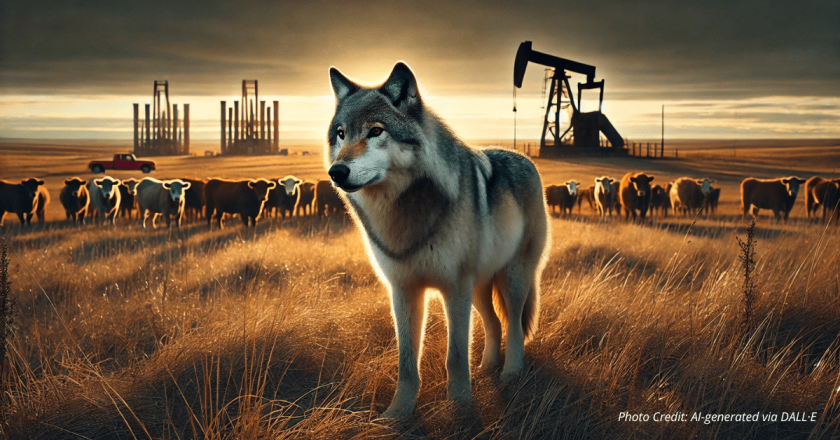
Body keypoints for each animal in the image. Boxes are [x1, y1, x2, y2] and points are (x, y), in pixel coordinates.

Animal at [325, 62, 551, 419]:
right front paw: (397, 415)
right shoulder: (404, 290)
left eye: (376, 131)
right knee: (493, 323)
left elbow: (455, 355)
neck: (405, 212)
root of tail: (526, 159)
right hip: (479, 288)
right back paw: (486, 369)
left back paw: (510, 375)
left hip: (511, 280)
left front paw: (461, 407)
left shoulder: (454, 287)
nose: (336, 172)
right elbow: (406, 362)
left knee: (513, 325)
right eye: (341, 134)